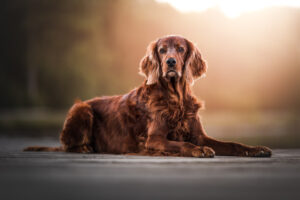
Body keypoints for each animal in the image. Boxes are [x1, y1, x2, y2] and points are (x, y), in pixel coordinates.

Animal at [24, 36, 272, 158]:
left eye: (180, 49)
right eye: (162, 50)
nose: (170, 62)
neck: (176, 98)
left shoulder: (199, 134)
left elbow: (232, 144)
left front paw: (256, 149)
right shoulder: (154, 139)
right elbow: (181, 144)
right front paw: (197, 150)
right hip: (81, 108)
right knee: (68, 145)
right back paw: (84, 148)